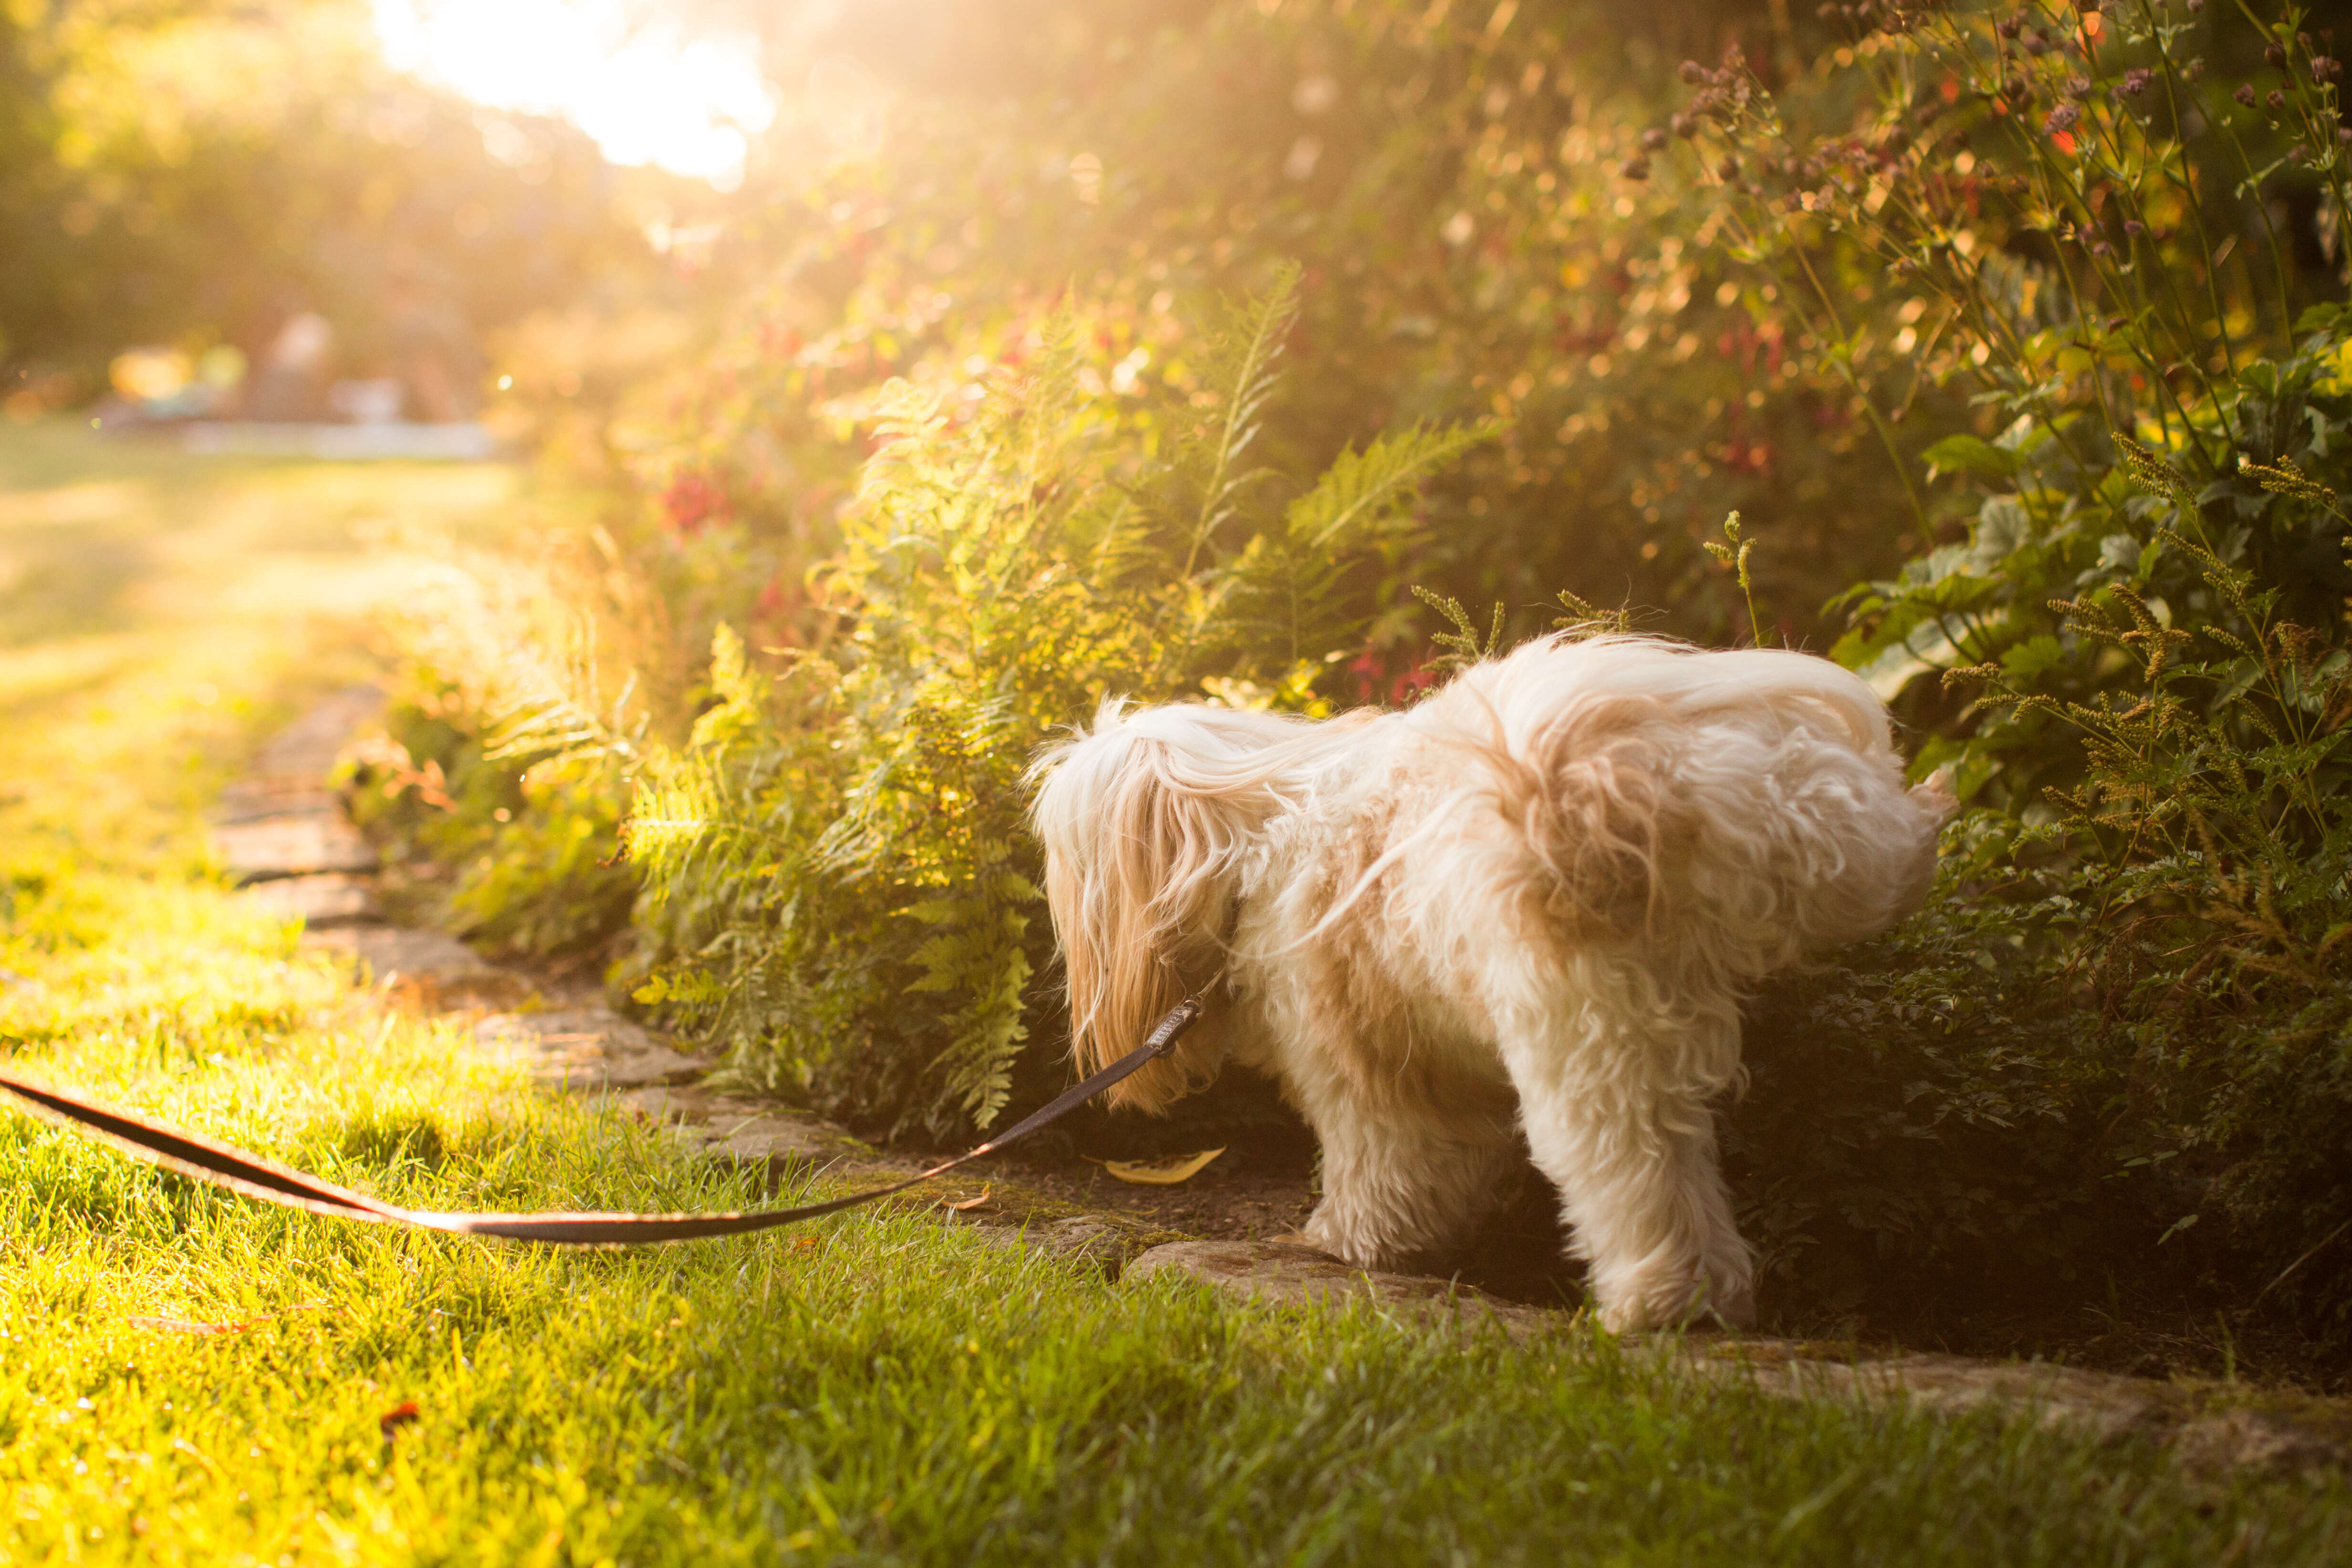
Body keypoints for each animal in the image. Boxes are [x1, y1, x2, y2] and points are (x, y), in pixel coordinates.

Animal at [1030, 639, 1947, 1335]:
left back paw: (1662, 1301)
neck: (1253, 834)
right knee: (1874, 859)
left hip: (1590, 1040)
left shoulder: (1359, 1066)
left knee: (1636, 1168)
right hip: (1804, 818)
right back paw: (1931, 812)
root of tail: (1606, 784)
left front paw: (1352, 1239)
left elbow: (1385, 1159)